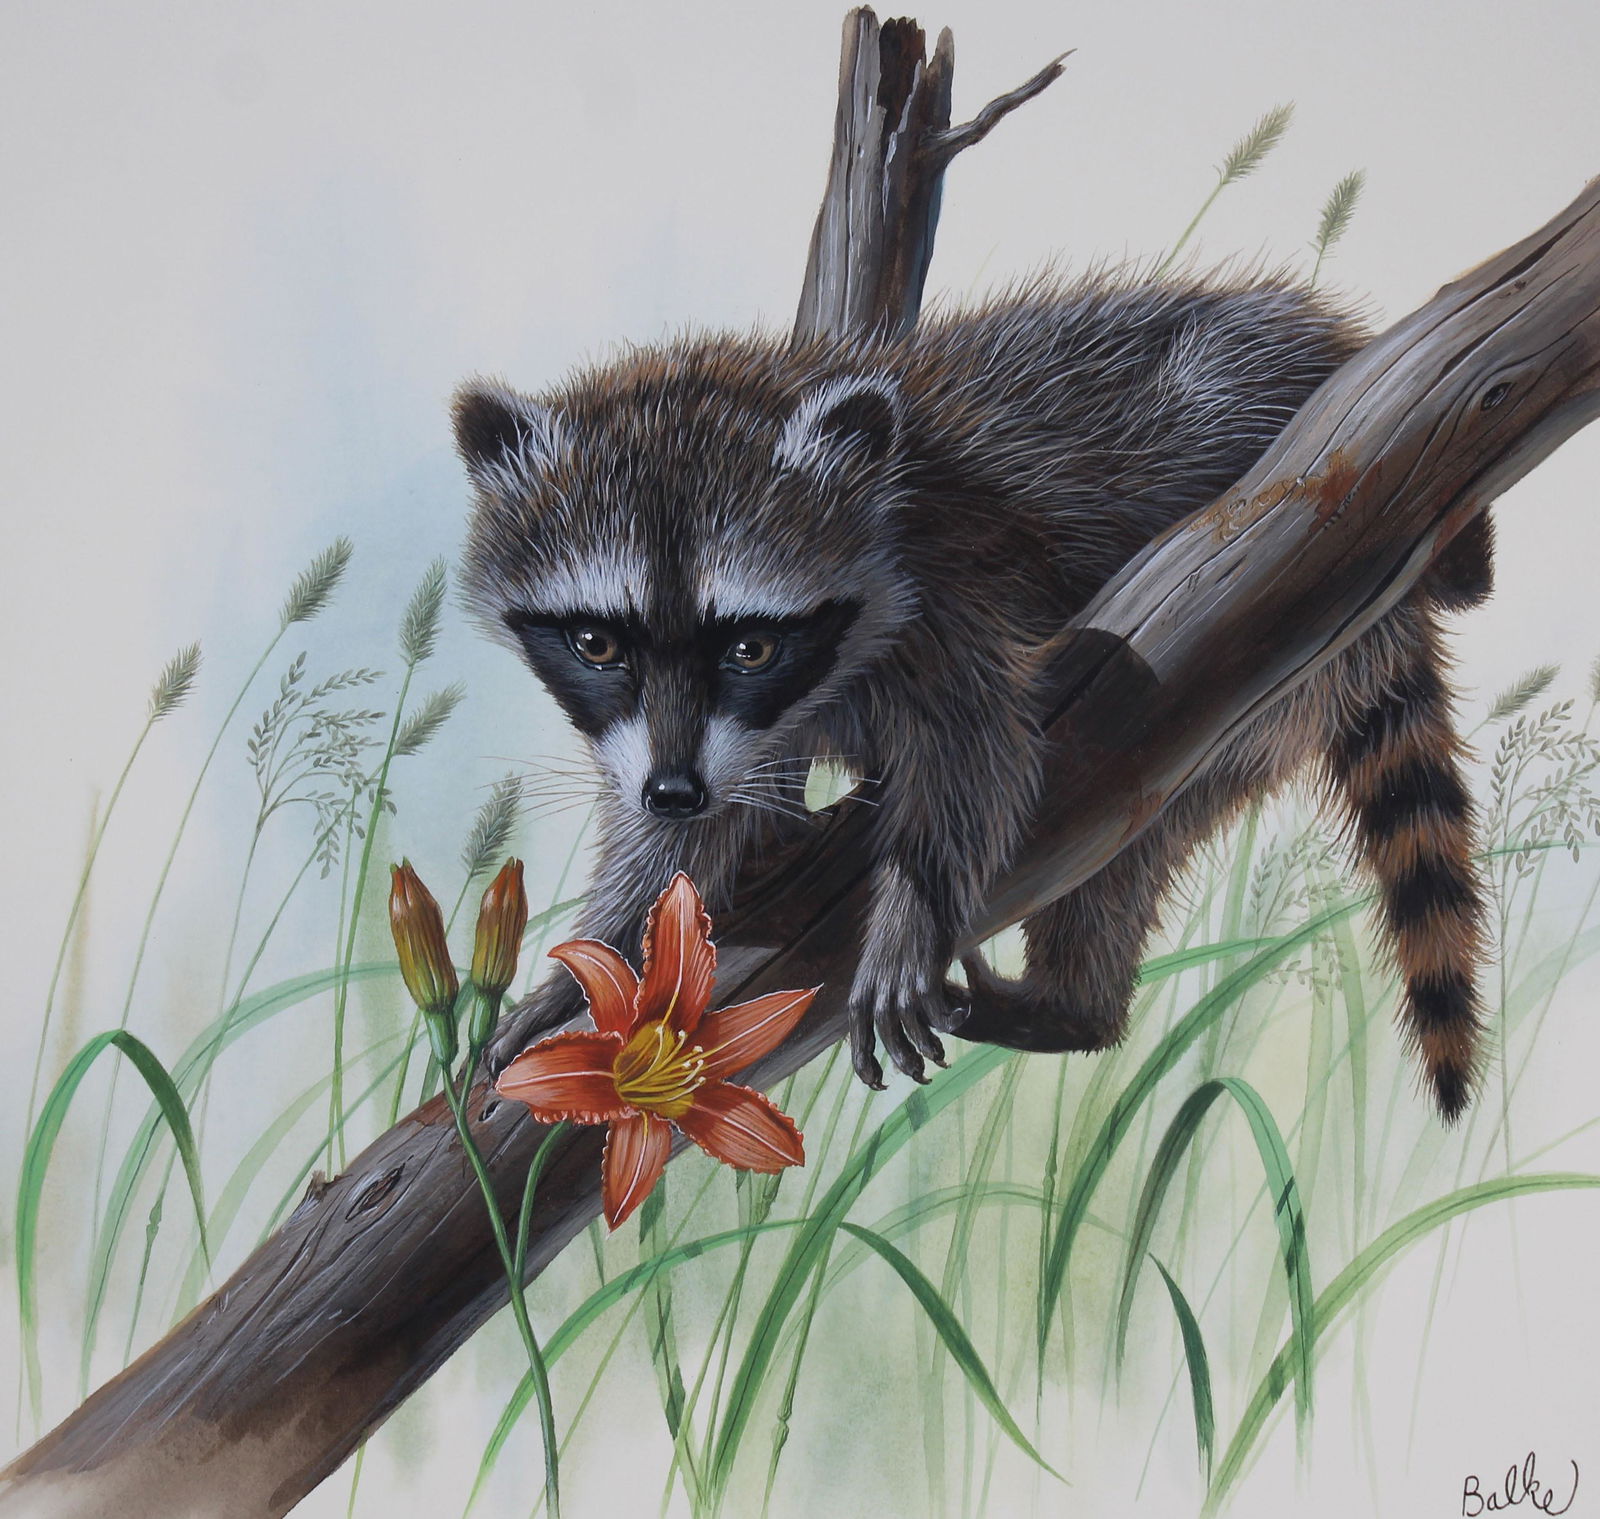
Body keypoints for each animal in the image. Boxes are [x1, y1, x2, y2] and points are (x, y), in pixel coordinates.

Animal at [454, 269, 1493, 1120]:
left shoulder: (946, 586)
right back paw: (1079, 1004)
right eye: (597, 642)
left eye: (751, 644)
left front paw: (909, 904)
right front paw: (603, 946)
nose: (673, 788)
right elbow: (682, 844)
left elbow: (979, 750)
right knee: (1129, 854)